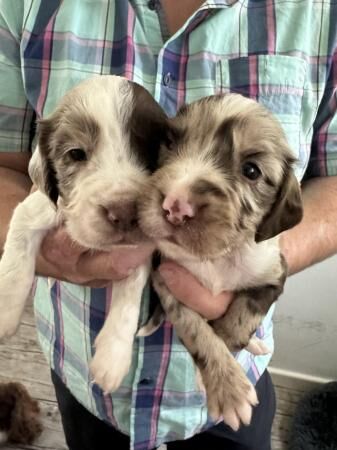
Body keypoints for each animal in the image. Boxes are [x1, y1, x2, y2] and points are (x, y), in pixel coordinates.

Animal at [0, 77, 169, 394]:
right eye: (76, 154)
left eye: (150, 154)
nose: (123, 212)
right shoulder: (40, 207)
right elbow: (17, 253)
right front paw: (4, 311)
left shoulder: (140, 249)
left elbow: (129, 295)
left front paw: (112, 359)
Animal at [138, 93, 304, 430]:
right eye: (171, 142)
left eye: (251, 171)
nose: (174, 204)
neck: (218, 257)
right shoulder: (168, 281)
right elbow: (196, 329)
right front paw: (226, 386)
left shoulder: (273, 276)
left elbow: (240, 321)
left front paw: (223, 373)